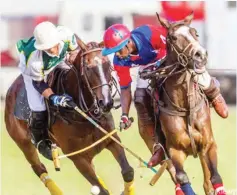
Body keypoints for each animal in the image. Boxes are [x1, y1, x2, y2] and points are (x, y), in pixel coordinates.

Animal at [4, 38, 134, 194]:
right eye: (88, 67)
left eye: (108, 64)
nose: (106, 103)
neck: (84, 114)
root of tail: (11, 89)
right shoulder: (77, 157)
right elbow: (102, 190)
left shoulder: (111, 139)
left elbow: (128, 171)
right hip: (23, 143)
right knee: (39, 168)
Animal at [142, 12, 227, 194]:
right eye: (173, 37)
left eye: (195, 33)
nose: (200, 54)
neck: (184, 105)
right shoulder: (175, 150)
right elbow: (181, 177)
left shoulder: (208, 144)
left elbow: (214, 177)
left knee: (207, 181)